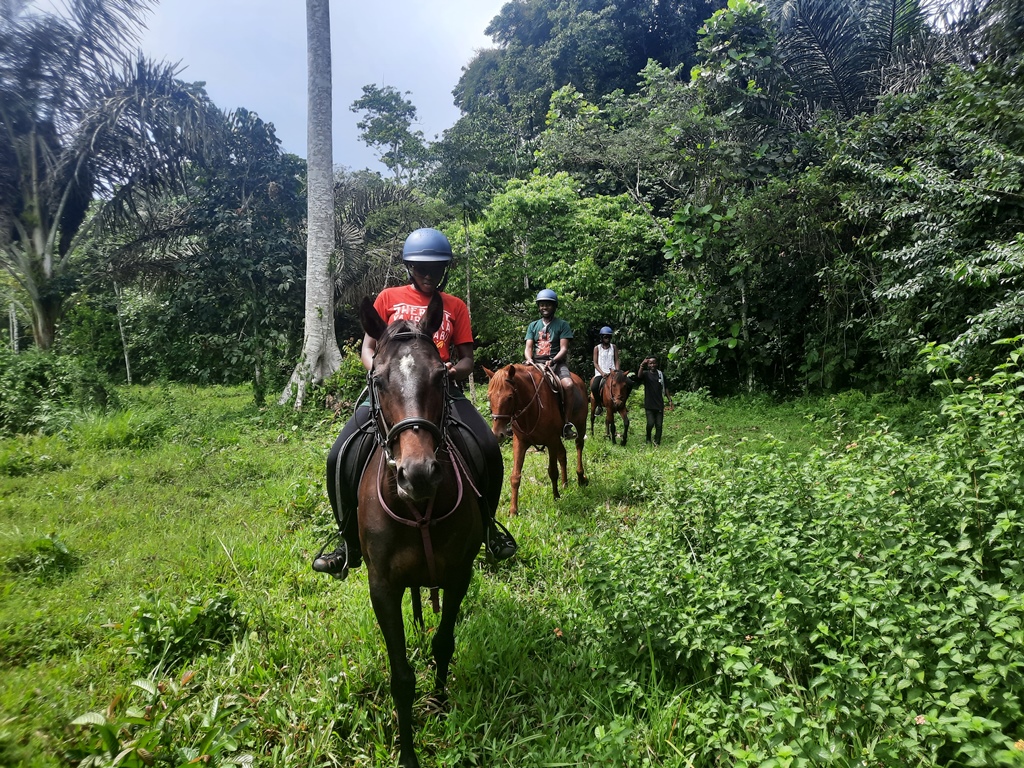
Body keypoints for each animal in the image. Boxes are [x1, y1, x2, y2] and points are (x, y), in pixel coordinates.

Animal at [356, 292, 483, 768]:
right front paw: (408, 753)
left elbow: (443, 644)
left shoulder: (459, 573)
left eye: (441, 377)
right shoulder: (382, 586)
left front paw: (443, 706)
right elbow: (401, 678)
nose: (418, 474)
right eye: (378, 381)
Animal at [483, 364, 589, 518]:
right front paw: (513, 511)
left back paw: (580, 477)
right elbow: (515, 477)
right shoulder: (520, 443)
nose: (498, 434)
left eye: (509, 397)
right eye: (489, 396)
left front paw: (556, 497)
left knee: (579, 445)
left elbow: (552, 471)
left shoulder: (551, 440)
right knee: (562, 454)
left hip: (580, 425)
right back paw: (565, 484)